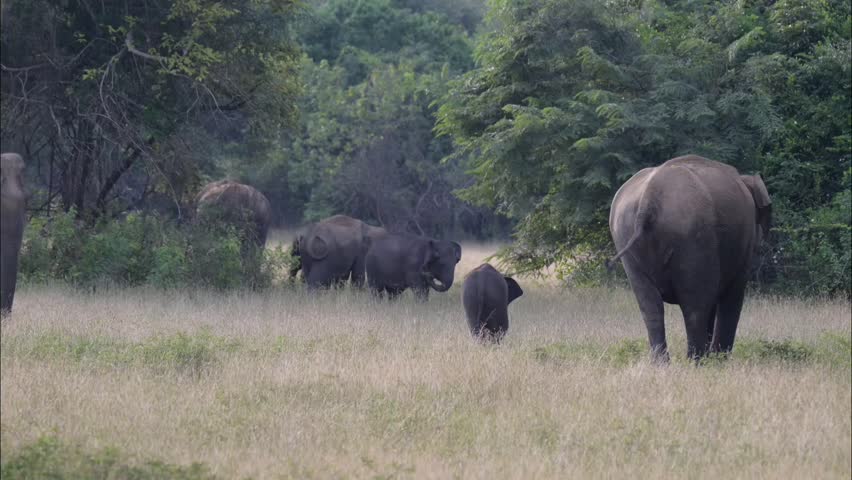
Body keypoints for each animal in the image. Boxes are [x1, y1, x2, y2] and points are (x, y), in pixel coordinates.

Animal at [608, 155, 771, 361]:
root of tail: (649, 197)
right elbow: (732, 295)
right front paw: (719, 361)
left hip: (625, 235)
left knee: (650, 307)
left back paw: (663, 363)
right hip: (693, 238)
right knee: (695, 307)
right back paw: (697, 361)